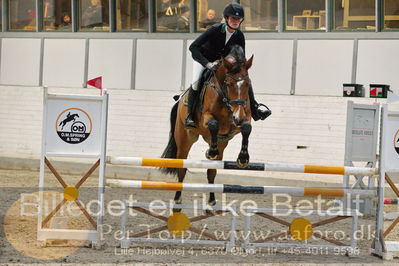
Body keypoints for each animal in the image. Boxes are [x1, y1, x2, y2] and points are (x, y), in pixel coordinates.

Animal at [159, 44, 253, 208]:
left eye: (247, 84)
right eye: (229, 84)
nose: (238, 117)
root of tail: (179, 99)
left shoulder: (241, 120)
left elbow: (246, 129)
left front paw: (243, 158)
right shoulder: (207, 118)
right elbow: (214, 124)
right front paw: (211, 152)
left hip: (221, 143)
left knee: (211, 171)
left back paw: (211, 200)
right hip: (184, 141)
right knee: (182, 169)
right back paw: (177, 198)